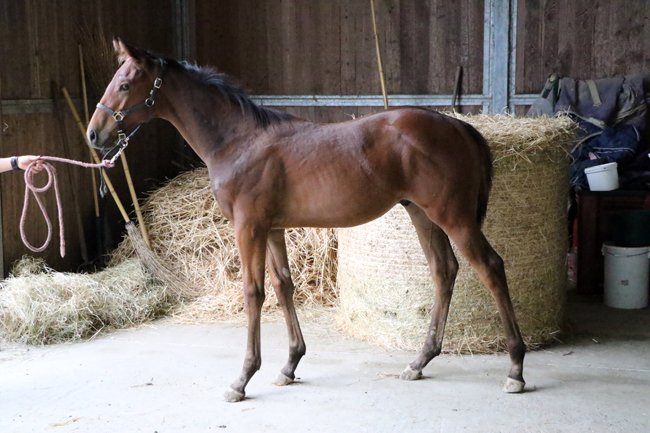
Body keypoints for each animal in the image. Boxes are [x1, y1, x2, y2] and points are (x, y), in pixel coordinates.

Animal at [87, 38, 526, 402]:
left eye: (124, 85)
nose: (94, 135)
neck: (240, 141)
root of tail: (458, 125)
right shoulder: (273, 228)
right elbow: (284, 287)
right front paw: (289, 365)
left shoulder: (249, 227)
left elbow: (253, 292)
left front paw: (242, 379)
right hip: (422, 214)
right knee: (444, 270)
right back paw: (419, 361)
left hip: (454, 217)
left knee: (490, 268)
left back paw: (515, 369)